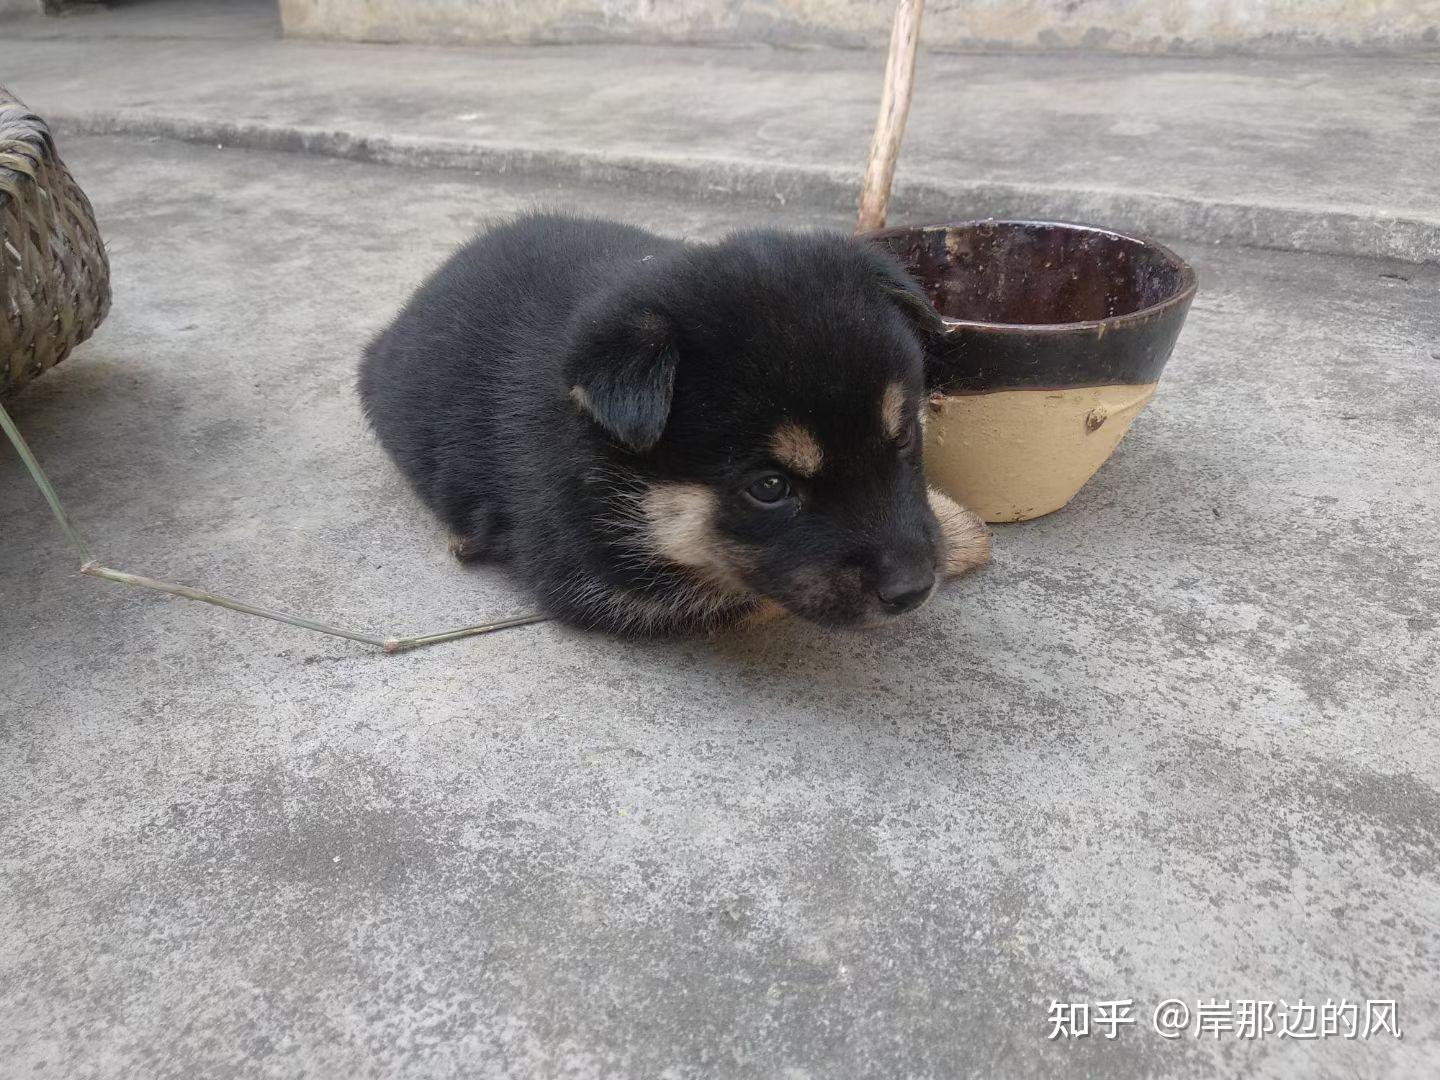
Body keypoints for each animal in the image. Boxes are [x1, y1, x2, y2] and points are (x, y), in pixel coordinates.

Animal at [360, 211, 990, 633]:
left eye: (902, 436)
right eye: (770, 488)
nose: (913, 589)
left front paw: (957, 526)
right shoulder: (596, 578)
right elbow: (747, 593)